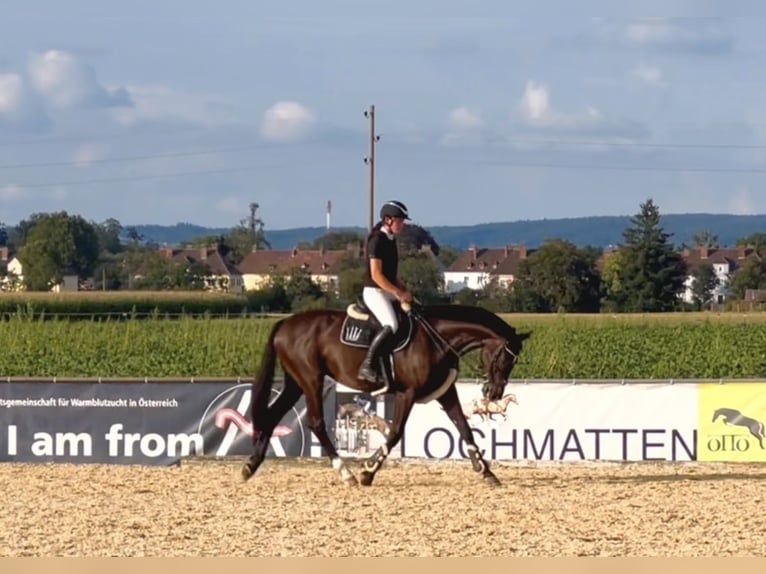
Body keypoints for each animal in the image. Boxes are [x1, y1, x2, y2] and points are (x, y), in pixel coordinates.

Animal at [243, 300, 532, 488]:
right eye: (505, 358)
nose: (494, 393)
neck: (436, 339)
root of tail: (285, 323)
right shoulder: (407, 393)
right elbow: (394, 433)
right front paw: (368, 472)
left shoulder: (446, 392)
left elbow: (464, 429)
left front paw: (486, 473)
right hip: (310, 379)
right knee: (315, 423)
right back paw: (346, 474)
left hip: (295, 382)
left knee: (272, 416)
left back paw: (250, 466)